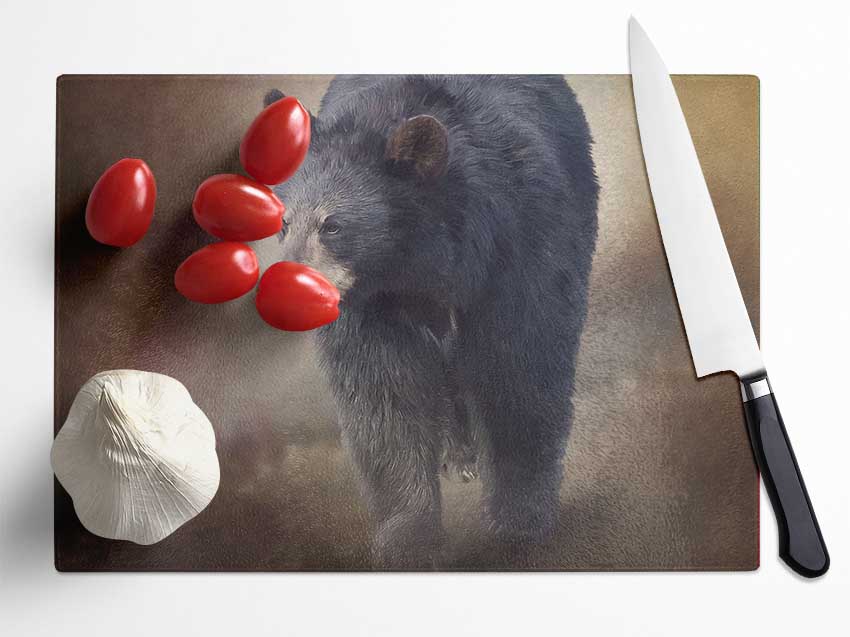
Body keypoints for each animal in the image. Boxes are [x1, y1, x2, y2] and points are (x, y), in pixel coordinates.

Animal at [271, 75, 599, 569]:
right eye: (284, 223)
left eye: (332, 225)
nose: (284, 294)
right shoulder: (372, 302)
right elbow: (384, 392)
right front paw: (408, 537)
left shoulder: (522, 241)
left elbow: (519, 365)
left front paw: (520, 518)